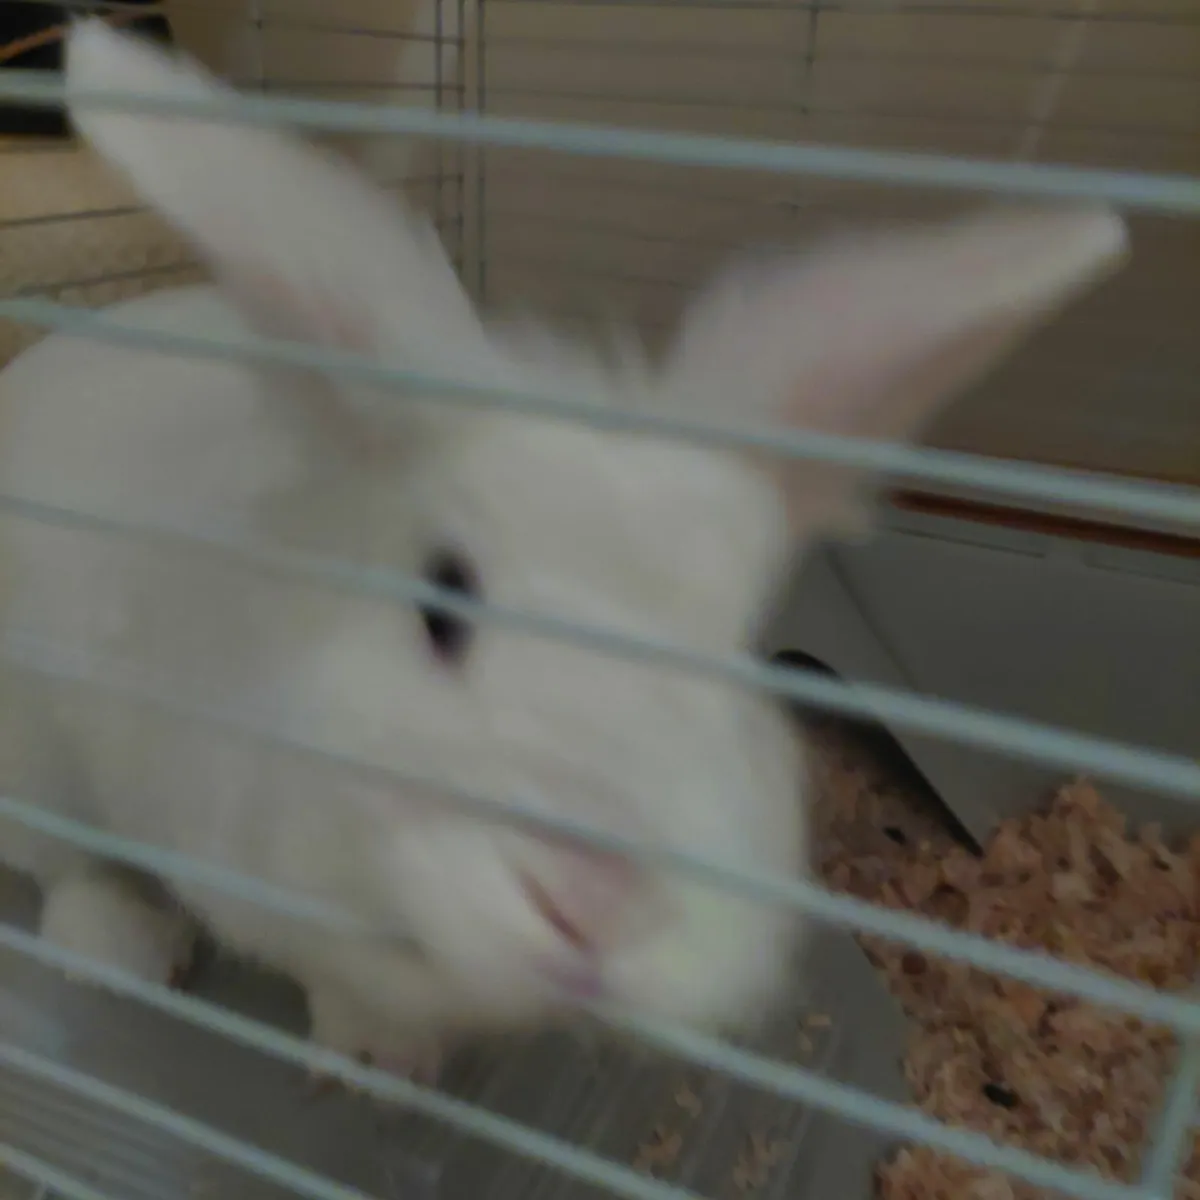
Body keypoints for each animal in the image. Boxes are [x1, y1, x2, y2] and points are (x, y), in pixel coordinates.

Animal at [0, 18, 1128, 1084]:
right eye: (442, 603)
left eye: (734, 651)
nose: (595, 903)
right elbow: (341, 978)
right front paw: (374, 1066)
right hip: (37, 767)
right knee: (66, 867)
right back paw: (125, 951)